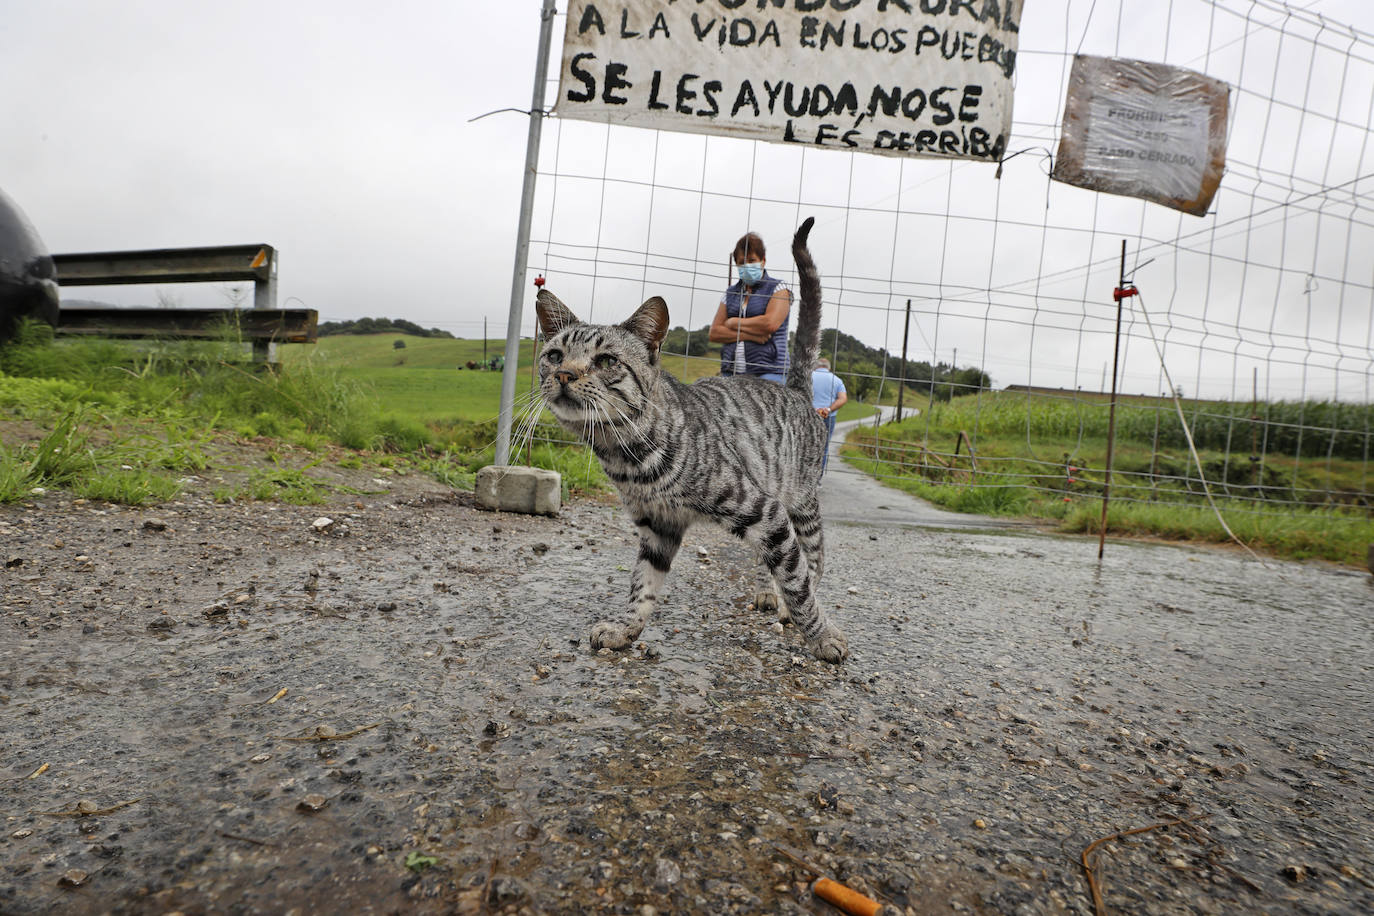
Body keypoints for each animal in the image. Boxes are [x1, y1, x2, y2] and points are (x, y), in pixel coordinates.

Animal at [527, 218, 840, 661]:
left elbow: (798, 584)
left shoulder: (763, 509)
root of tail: (795, 389)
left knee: (812, 556)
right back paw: (767, 592)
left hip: (799, 501)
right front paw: (626, 628)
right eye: (554, 355)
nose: (564, 374)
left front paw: (821, 635)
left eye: (607, 361)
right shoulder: (658, 526)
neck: (627, 457)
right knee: (772, 559)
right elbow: (642, 584)